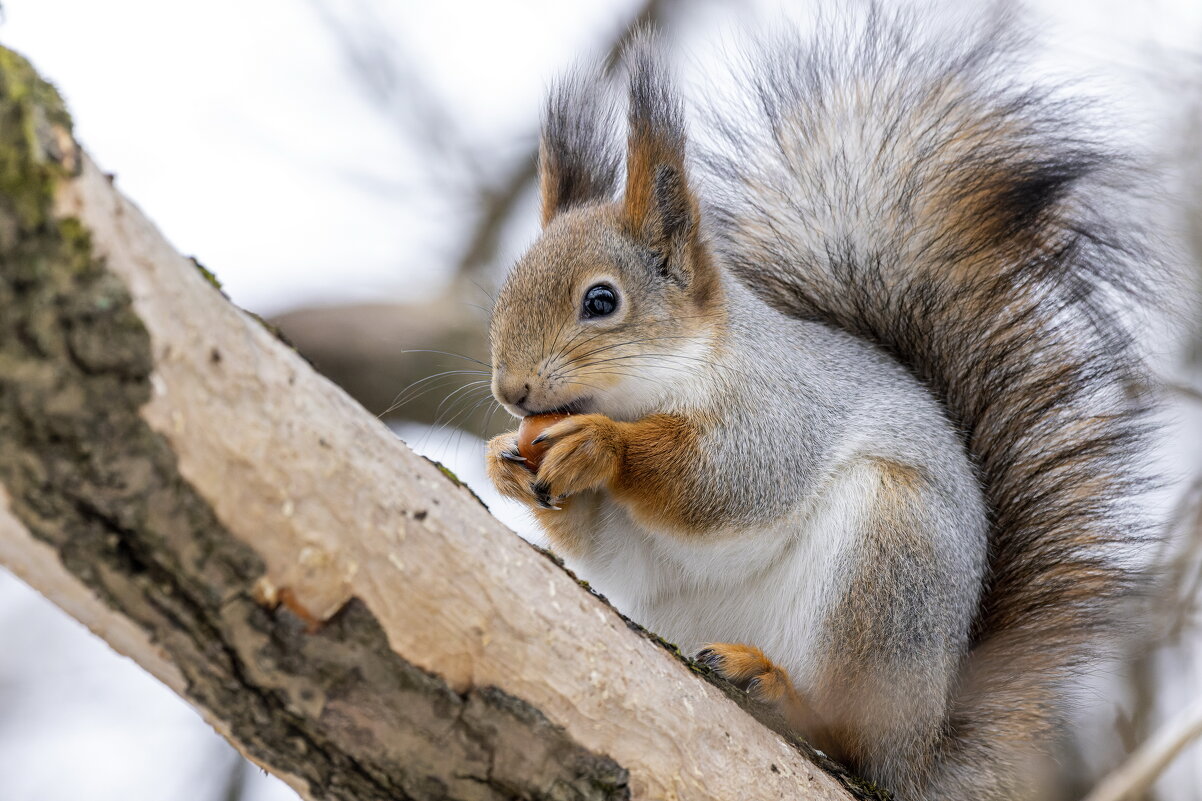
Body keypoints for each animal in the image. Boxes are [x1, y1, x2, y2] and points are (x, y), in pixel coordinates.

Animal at [483, 9, 1158, 793]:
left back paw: (775, 686)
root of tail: (921, 748)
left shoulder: (783, 409)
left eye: (601, 301)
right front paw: (502, 462)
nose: (511, 391)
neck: (670, 376)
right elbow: (609, 546)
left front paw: (602, 445)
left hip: (886, 567)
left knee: (846, 734)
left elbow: (725, 482)